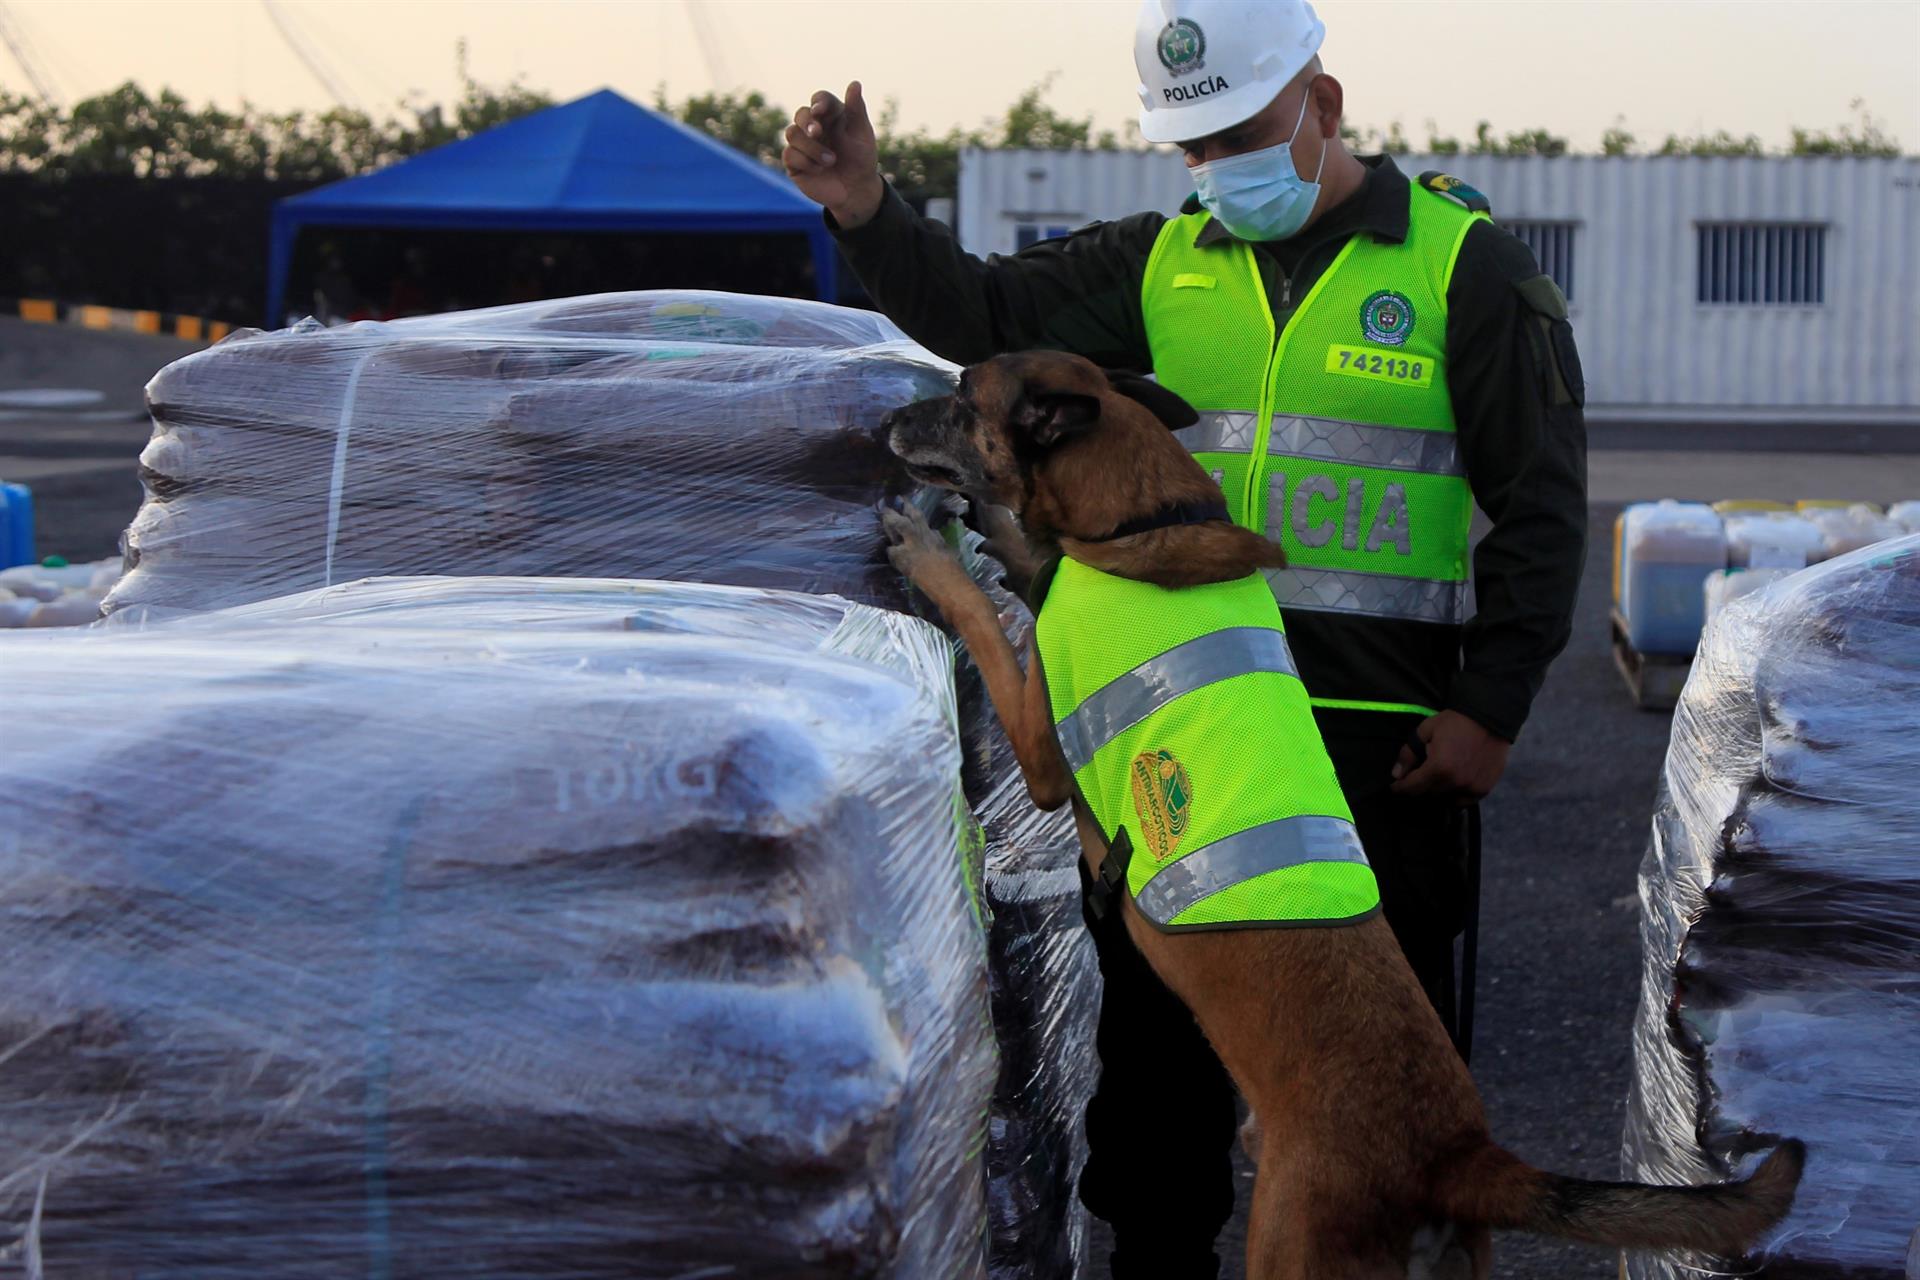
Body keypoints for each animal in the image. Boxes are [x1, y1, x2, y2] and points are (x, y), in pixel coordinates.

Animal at [879, 351, 1789, 1280]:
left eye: (963, 395)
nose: (890, 423)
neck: (1139, 515)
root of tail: (1462, 1157)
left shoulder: (1042, 749)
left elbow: (987, 621)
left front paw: (934, 555)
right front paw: (1000, 538)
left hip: (1287, 1244)